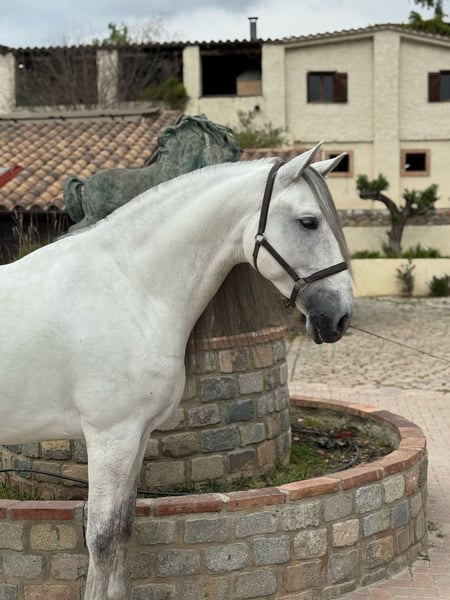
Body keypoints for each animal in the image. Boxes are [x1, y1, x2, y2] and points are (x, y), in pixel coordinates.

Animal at [0, 143, 352, 599]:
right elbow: (101, 537)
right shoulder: (110, 437)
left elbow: (122, 530)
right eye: (309, 221)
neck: (131, 288)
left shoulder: (136, 436)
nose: (340, 316)